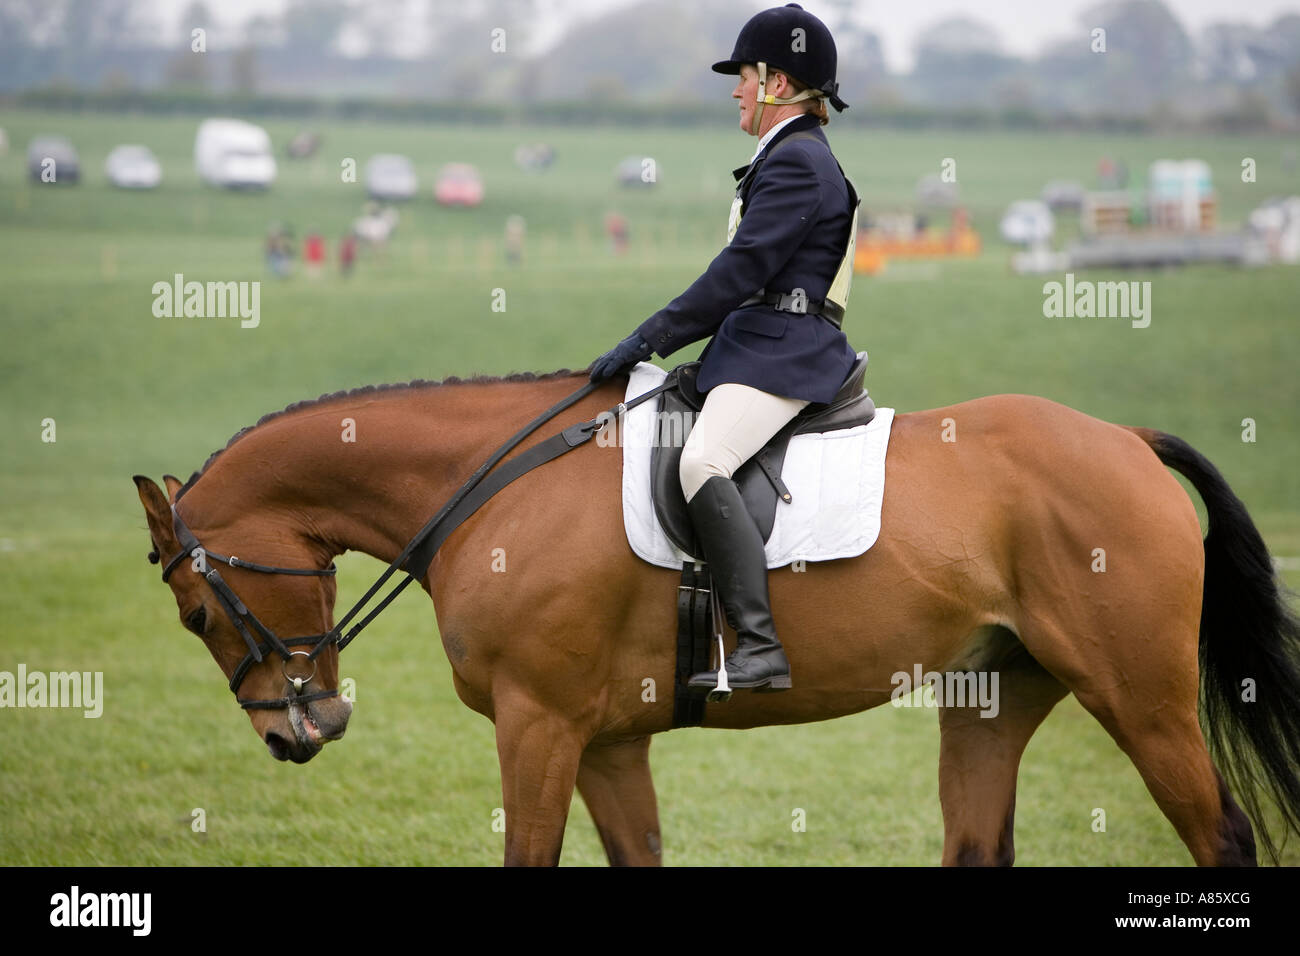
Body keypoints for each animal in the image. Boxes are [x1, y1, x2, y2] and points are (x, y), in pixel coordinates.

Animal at [132, 368, 1300, 866]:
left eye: (194, 612)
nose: (299, 728)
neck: (492, 487)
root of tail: (1127, 439)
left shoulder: (539, 724)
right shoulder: (602, 741)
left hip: (1139, 697)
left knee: (1222, 836)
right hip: (991, 695)